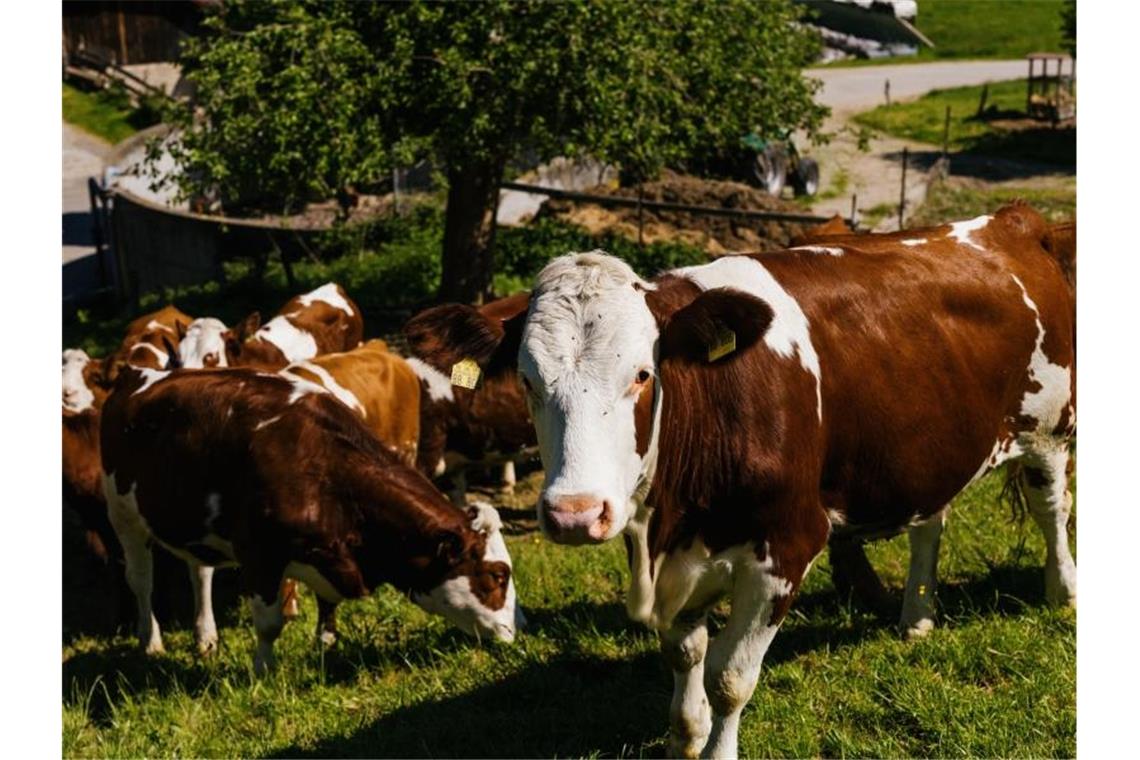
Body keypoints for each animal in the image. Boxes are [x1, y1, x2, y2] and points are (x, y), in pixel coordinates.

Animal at [100, 364, 522, 669]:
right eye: (498, 576)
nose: (521, 628)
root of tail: (135, 373)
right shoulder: (260, 553)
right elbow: (269, 623)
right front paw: (264, 671)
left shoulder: (331, 551)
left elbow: (328, 603)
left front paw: (325, 646)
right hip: (123, 516)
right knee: (141, 580)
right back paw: (150, 641)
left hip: (194, 526)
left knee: (199, 573)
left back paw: (206, 638)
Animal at [430, 203, 1071, 760]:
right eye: (527, 380)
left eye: (642, 374)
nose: (574, 514)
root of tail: (1011, 219)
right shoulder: (677, 553)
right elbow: (686, 654)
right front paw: (685, 739)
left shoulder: (786, 547)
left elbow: (730, 677)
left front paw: (717, 747)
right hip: (926, 447)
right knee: (930, 522)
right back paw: (917, 617)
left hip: (1050, 429)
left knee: (1051, 510)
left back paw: (1062, 593)